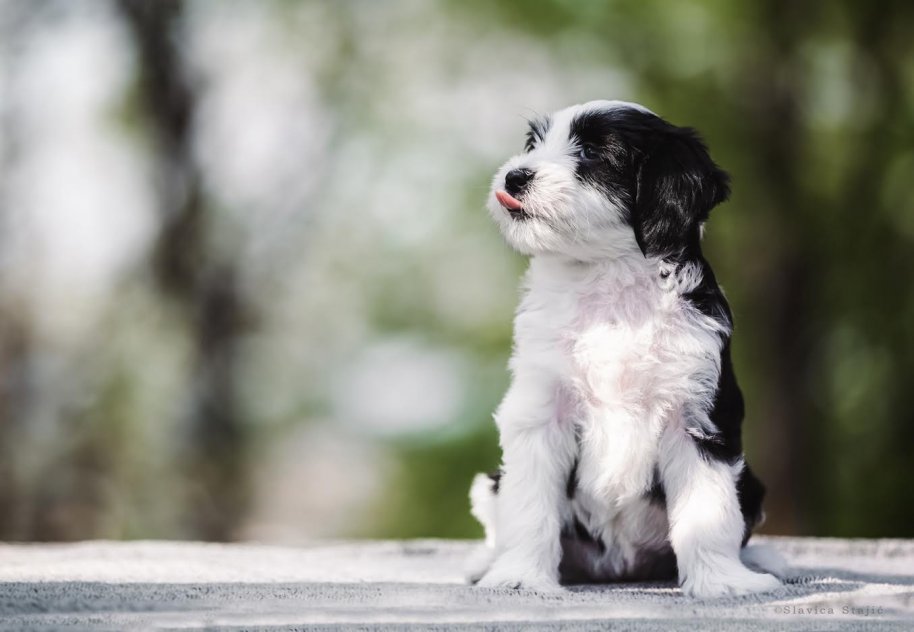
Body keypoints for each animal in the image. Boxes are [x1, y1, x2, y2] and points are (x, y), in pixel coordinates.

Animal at [470, 100, 784, 596]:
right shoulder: (540, 412)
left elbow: (709, 509)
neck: (609, 286)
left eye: (593, 153)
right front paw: (518, 577)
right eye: (534, 144)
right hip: (488, 483)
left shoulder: (698, 416)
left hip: (751, 484)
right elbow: (528, 506)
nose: (515, 177)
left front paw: (722, 581)